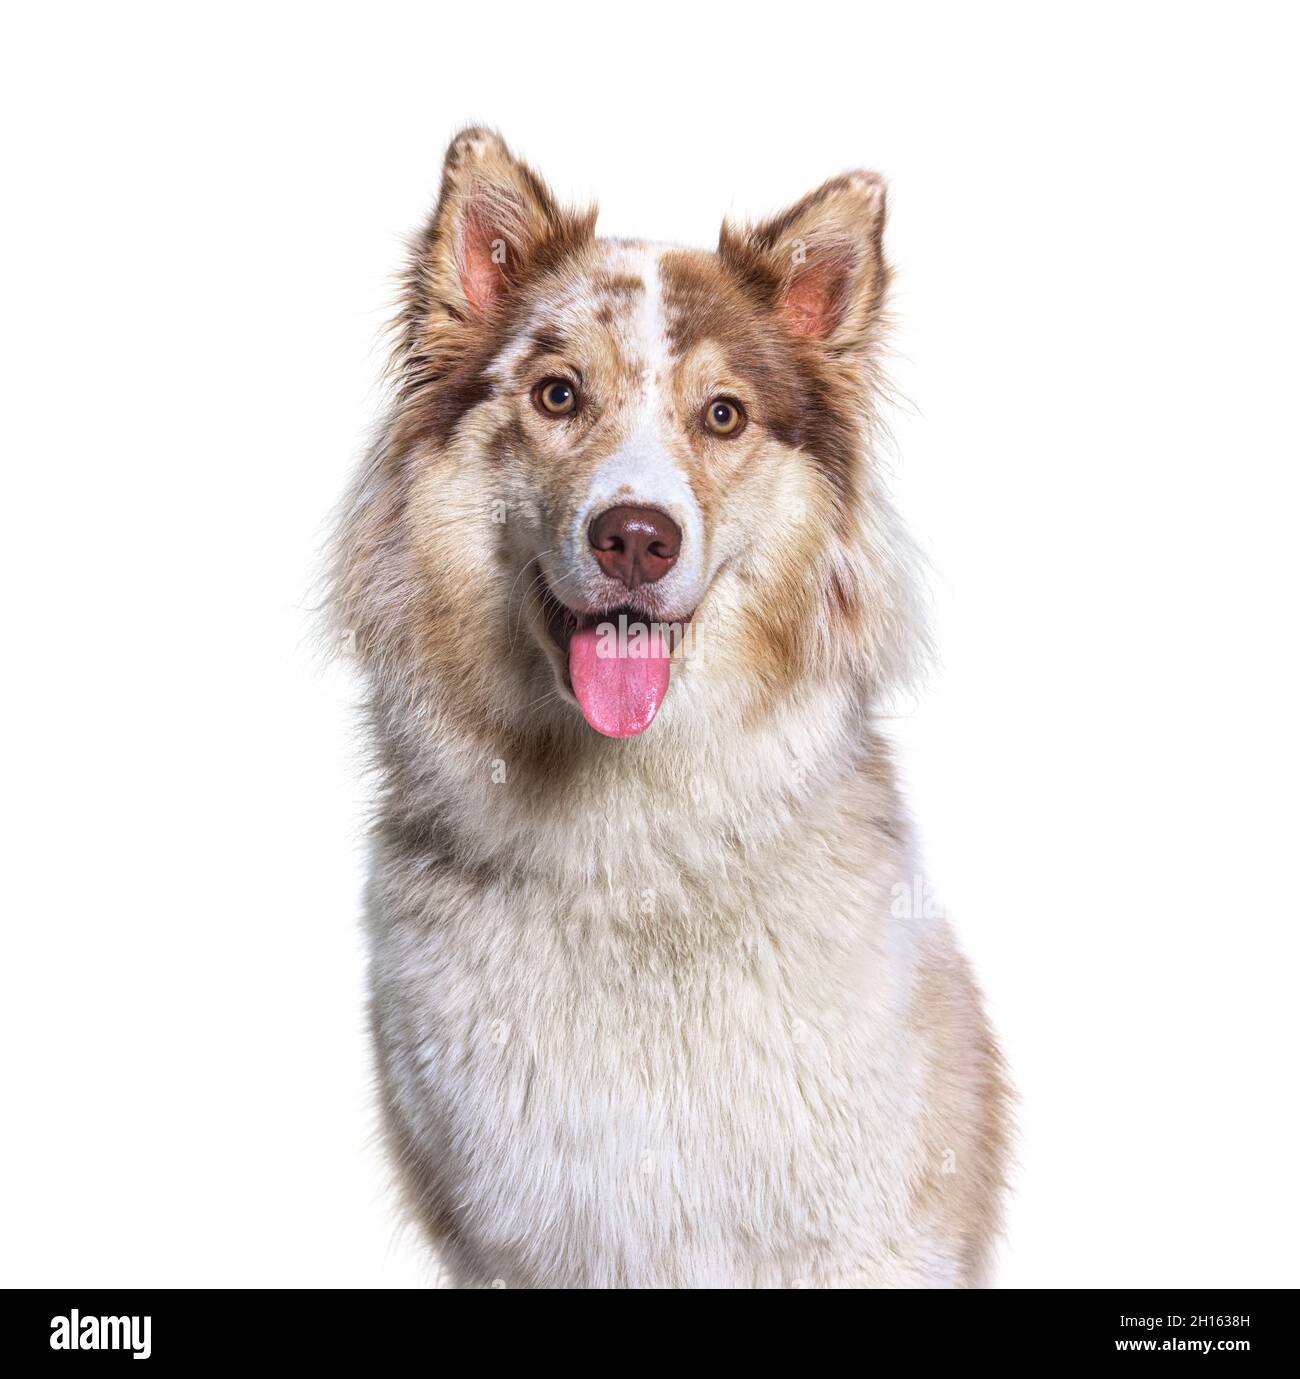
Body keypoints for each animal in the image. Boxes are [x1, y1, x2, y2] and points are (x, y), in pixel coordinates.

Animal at [330, 129, 1009, 1290]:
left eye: (722, 414)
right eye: (558, 394)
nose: (636, 538)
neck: (633, 848)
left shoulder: (862, 1227)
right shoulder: (518, 1234)